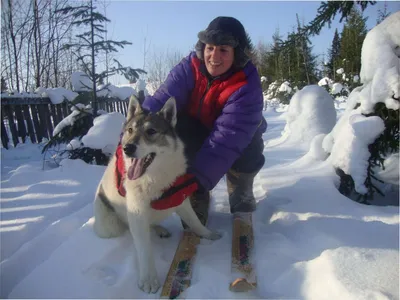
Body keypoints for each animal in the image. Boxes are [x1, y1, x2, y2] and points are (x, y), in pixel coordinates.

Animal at [92, 95, 220, 292]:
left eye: (151, 131)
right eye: (129, 130)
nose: (127, 148)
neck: (154, 177)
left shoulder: (180, 199)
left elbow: (195, 222)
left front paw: (208, 234)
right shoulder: (137, 212)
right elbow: (144, 249)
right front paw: (149, 279)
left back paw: (160, 229)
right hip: (111, 226)